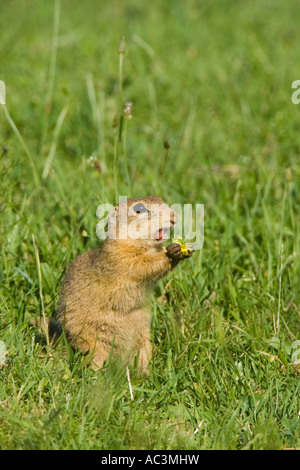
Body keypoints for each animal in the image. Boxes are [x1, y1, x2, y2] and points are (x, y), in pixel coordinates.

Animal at [58, 196, 193, 372]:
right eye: (139, 209)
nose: (174, 217)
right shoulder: (122, 257)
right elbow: (142, 265)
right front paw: (172, 252)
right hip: (92, 343)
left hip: (143, 344)